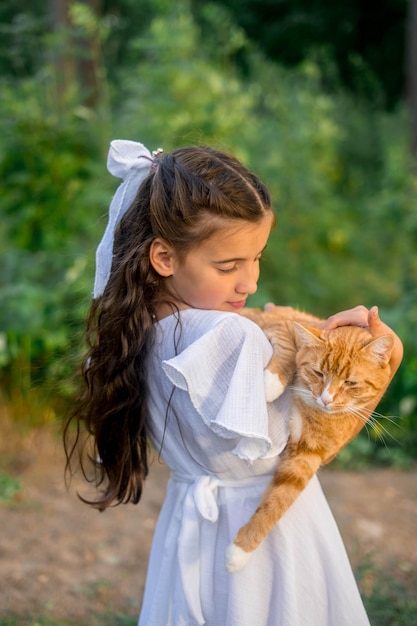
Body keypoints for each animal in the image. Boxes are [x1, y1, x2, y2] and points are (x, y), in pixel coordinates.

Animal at [226, 304, 392, 572]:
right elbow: (289, 345)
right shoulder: (279, 319)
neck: (309, 407)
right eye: (318, 373)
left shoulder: (305, 457)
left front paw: (241, 550)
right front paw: (272, 383)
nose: (326, 398)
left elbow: (278, 502)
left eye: (350, 382)